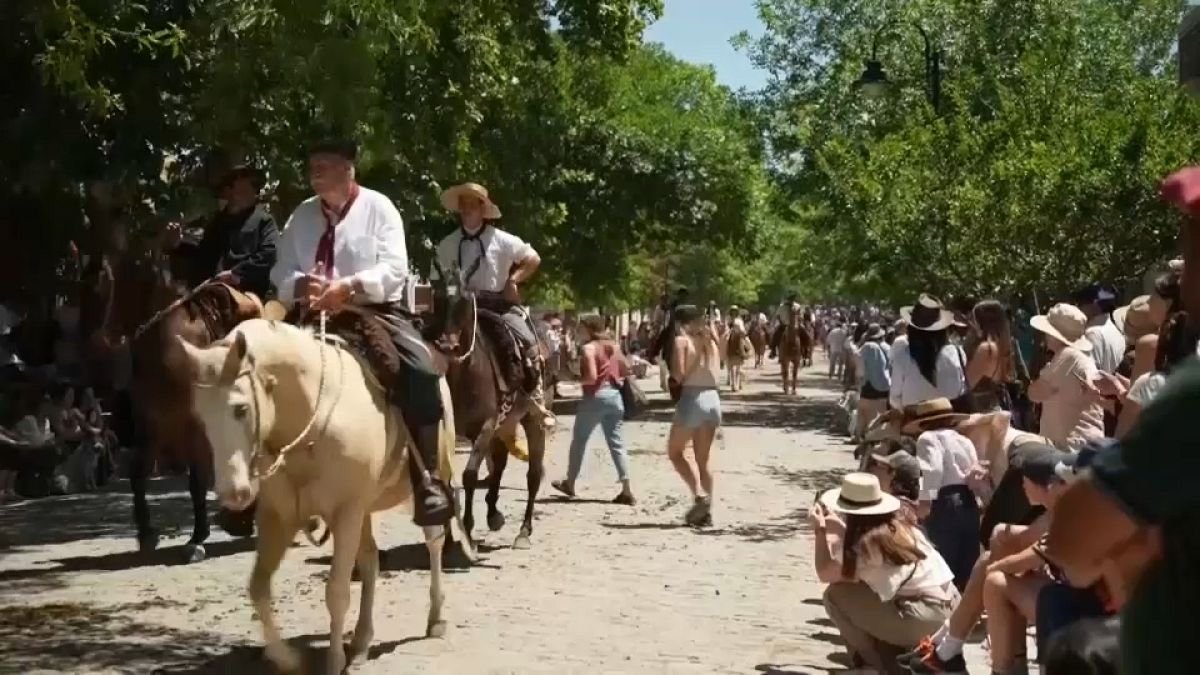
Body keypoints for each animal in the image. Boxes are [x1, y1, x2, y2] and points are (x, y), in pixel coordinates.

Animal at [180, 317, 460, 672]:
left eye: (240, 409)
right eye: (200, 415)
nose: (234, 494)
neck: (314, 412)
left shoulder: (346, 512)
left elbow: (337, 591)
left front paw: (333, 661)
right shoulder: (279, 517)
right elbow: (258, 587)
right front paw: (287, 658)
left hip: (426, 482)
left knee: (434, 541)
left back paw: (435, 618)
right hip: (362, 511)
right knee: (370, 560)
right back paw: (361, 642)